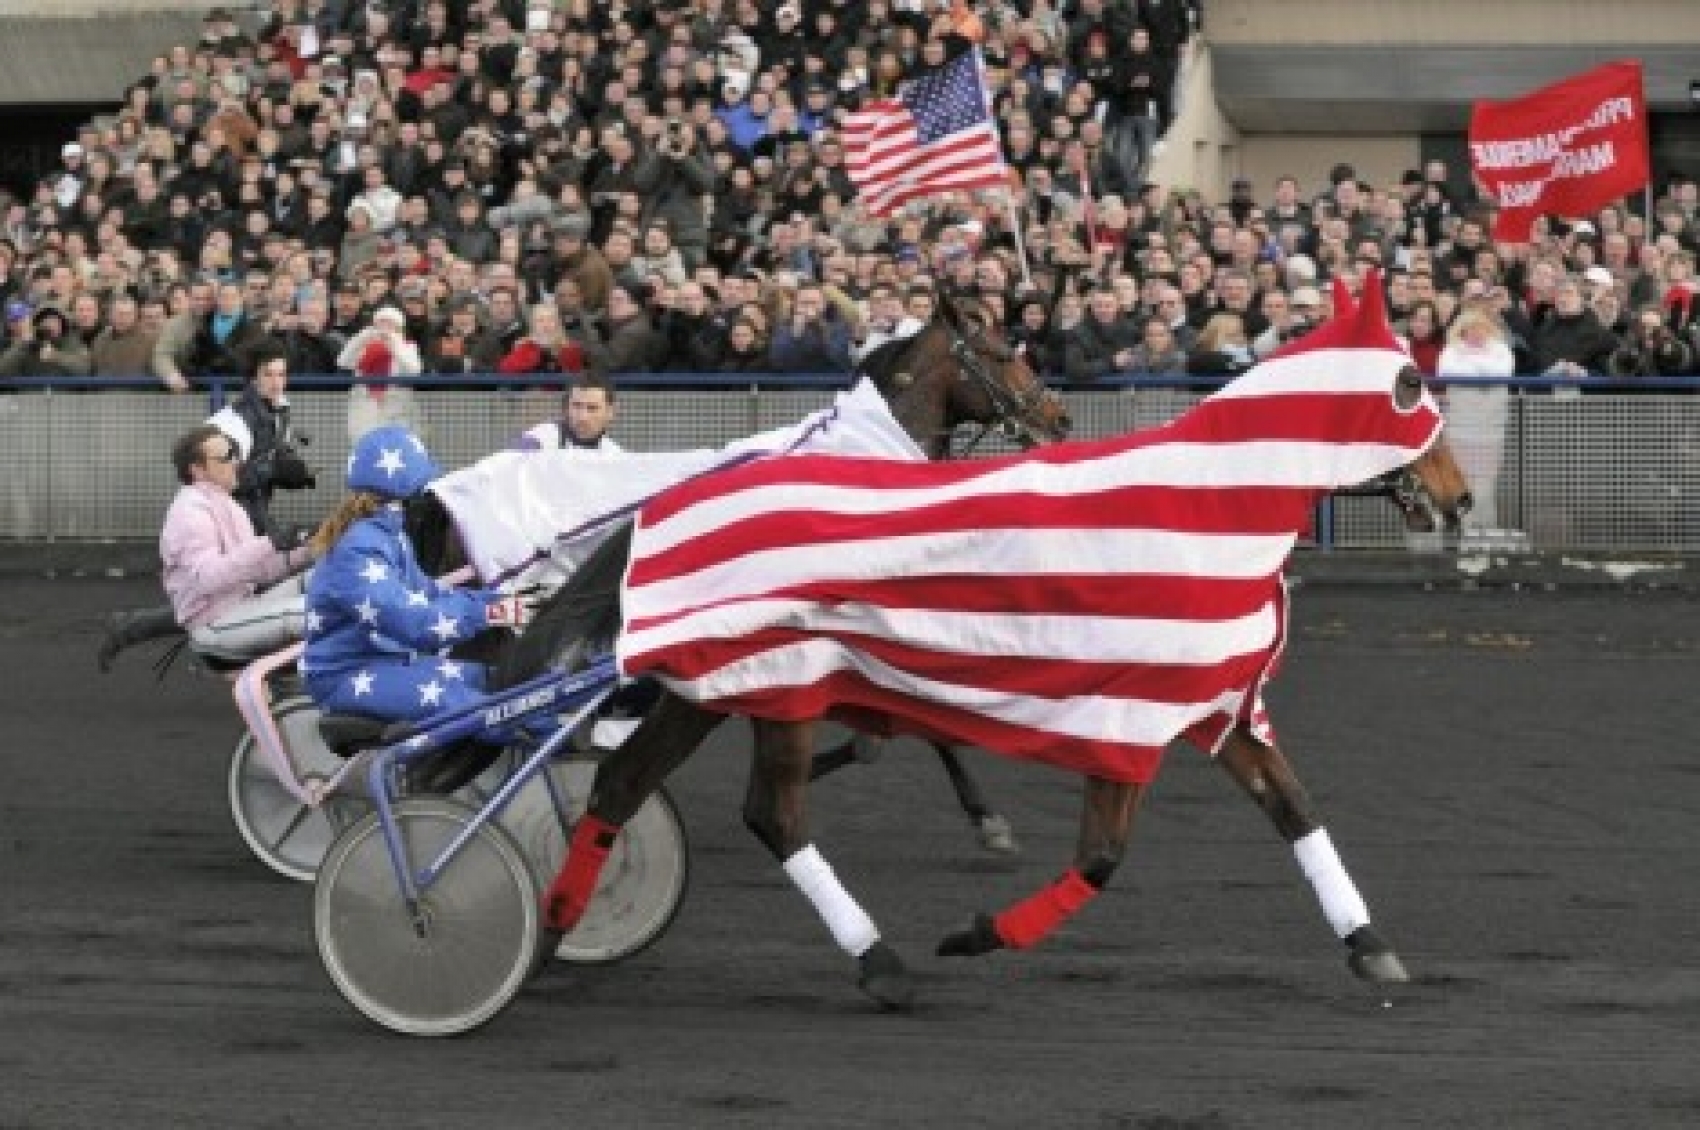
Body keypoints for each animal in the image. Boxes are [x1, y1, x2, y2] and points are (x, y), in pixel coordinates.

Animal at [506, 271, 1475, 1005]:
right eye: (1408, 388)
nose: (1461, 496)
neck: (1200, 508)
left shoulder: (1215, 701)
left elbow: (1294, 810)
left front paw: (1369, 944)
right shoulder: (1118, 710)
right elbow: (1098, 855)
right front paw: (977, 925)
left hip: (713, 687)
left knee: (624, 784)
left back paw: (556, 929)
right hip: (773, 682)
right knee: (767, 813)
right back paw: (877, 961)